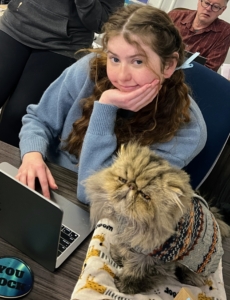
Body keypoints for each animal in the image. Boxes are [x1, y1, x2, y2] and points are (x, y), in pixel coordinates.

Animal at [84, 142, 230, 294]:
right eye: (122, 179)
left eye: (145, 196)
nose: (131, 186)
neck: (130, 222)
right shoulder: (131, 242)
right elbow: (124, 250)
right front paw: (118, 256)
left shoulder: (150, 257)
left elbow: (136, 271)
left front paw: (125, 285)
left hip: (199, 266)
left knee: (197, 278)